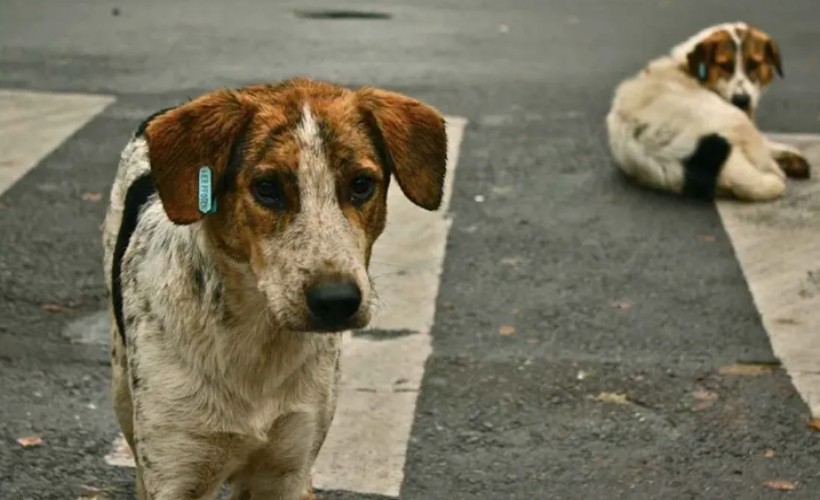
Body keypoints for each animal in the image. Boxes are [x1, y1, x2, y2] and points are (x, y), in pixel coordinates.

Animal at [104, 79, 448, 500]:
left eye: (361, 184)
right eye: (267, 188)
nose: (337, 301)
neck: (257, 341)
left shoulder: (287, 468)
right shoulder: (176, 473)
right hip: (123, 387)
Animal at [604, 21, 812, 201]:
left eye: (753, 65)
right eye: (724, 65)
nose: (741, 100)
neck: (687, 68)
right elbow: (767, 144)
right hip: (734, 119)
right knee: (764, 160)